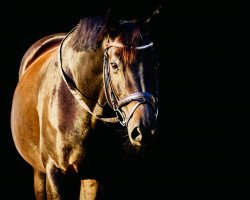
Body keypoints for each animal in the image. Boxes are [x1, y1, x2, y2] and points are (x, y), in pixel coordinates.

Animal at [10, 10, 159, 198]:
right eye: (114, 65)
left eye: (155, 64)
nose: (144, 128)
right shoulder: (54, 174)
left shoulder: (102, 175)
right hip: (38, 171)